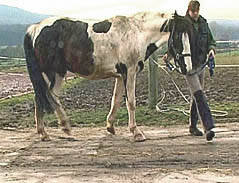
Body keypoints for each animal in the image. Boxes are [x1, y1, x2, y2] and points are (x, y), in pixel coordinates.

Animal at [23, 12, 170, 142]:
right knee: (46, 98)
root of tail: (35, 28)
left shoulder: (120, 76)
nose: (167, 59)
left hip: (54, 75)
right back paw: (61, 128)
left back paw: (46, 132)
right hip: (53, 73)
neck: (136, 32)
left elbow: (116, 100)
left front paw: (110, 127)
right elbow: (131, 102)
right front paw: (136, 133)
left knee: (43, 98)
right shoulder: (130, 72)